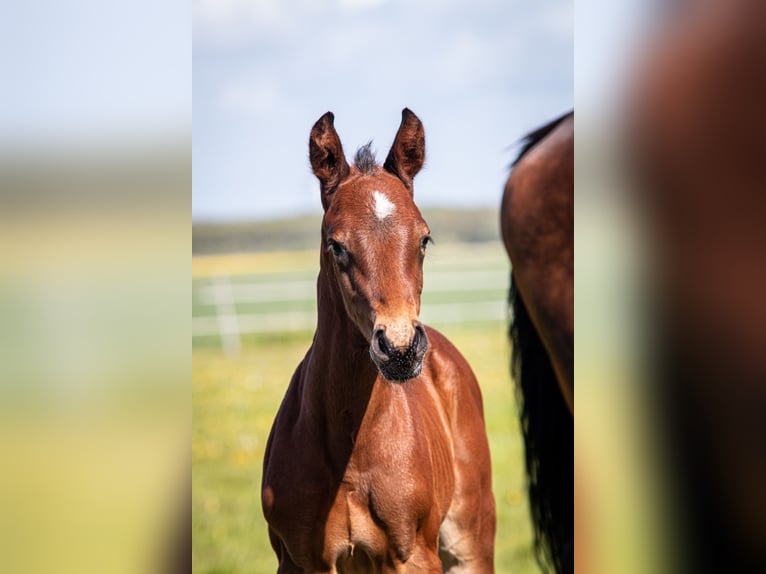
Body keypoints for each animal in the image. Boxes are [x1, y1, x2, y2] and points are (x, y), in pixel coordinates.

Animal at [262, 110, 498, 572]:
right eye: (336, 245)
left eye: (424, 239)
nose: (401, 348)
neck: (349, 452)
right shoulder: (300, 561)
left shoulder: (412, 556)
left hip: (471, 542)